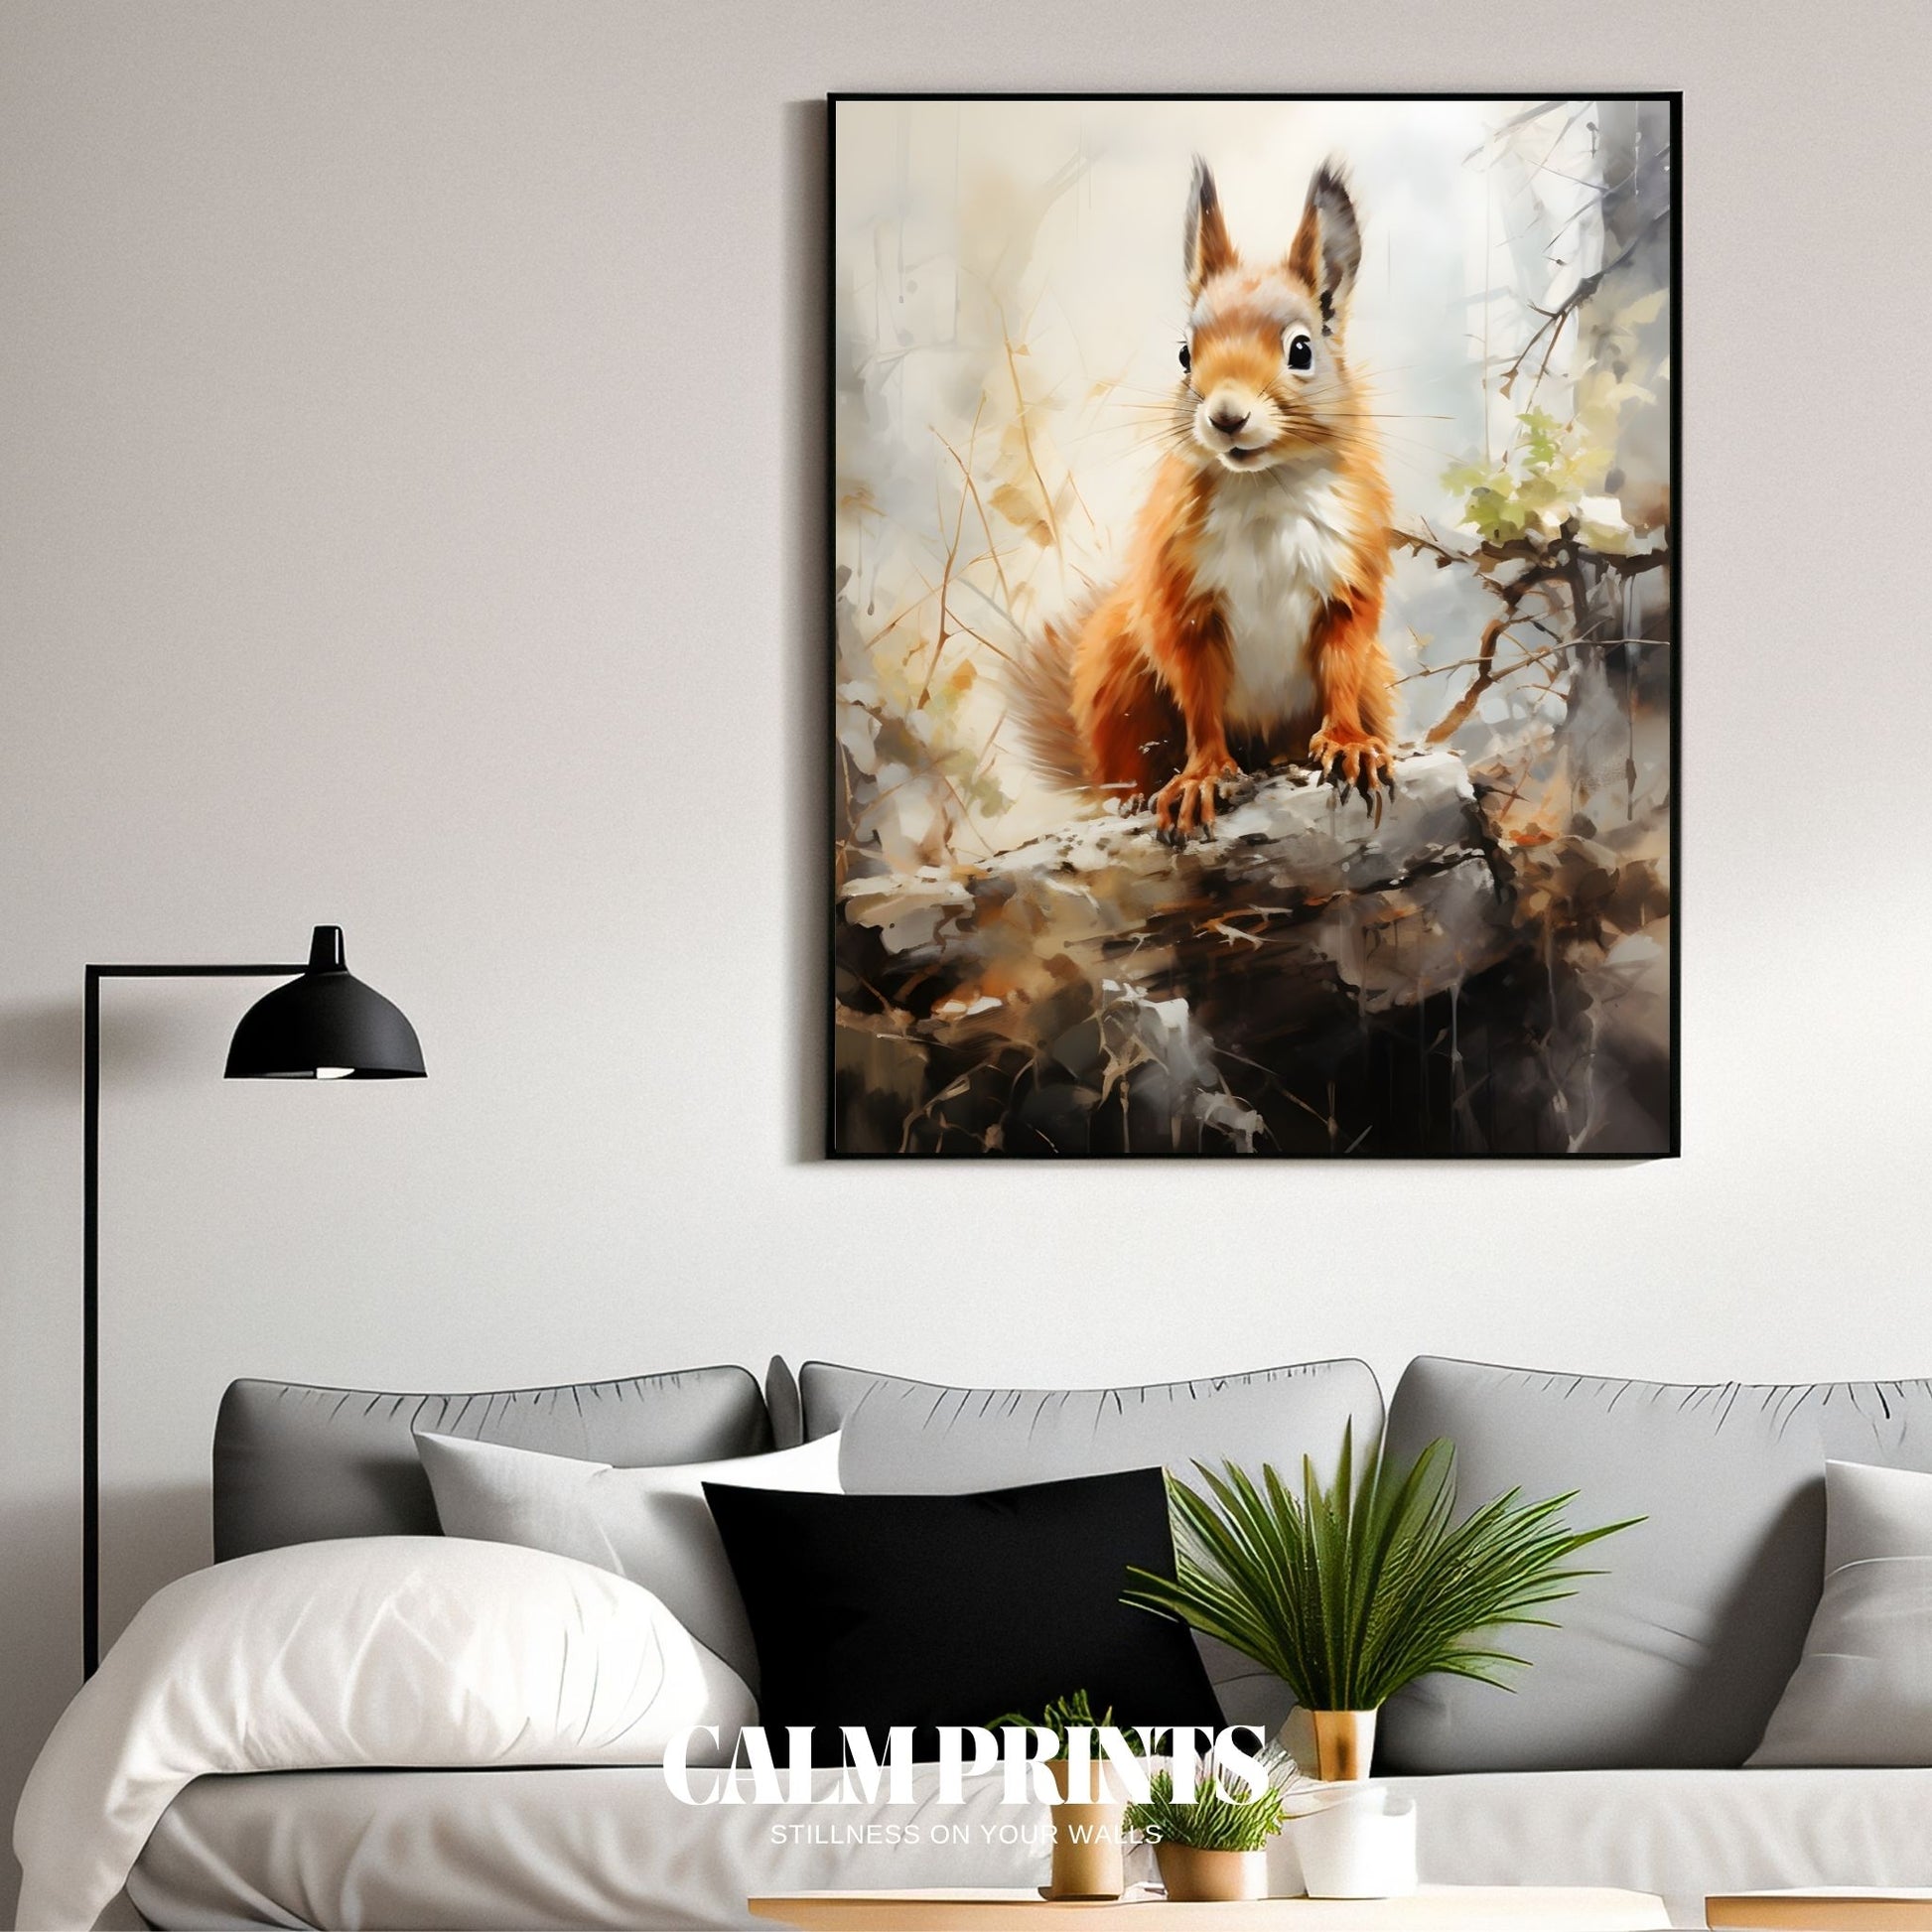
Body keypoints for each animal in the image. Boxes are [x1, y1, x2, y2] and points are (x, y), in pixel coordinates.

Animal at [1011, 157, 1398, 841]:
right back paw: (1136, 796)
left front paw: (1349, 745)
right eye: (1185, 355)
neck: (1264, 487)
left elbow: (1342, 667)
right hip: (1117, 673)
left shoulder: (1348, 583)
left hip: (1375, 682)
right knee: (1129, 761)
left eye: (1302, 350)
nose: (1226, 416)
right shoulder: (1183, 602)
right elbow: (1198, 696)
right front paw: (1202, 776)